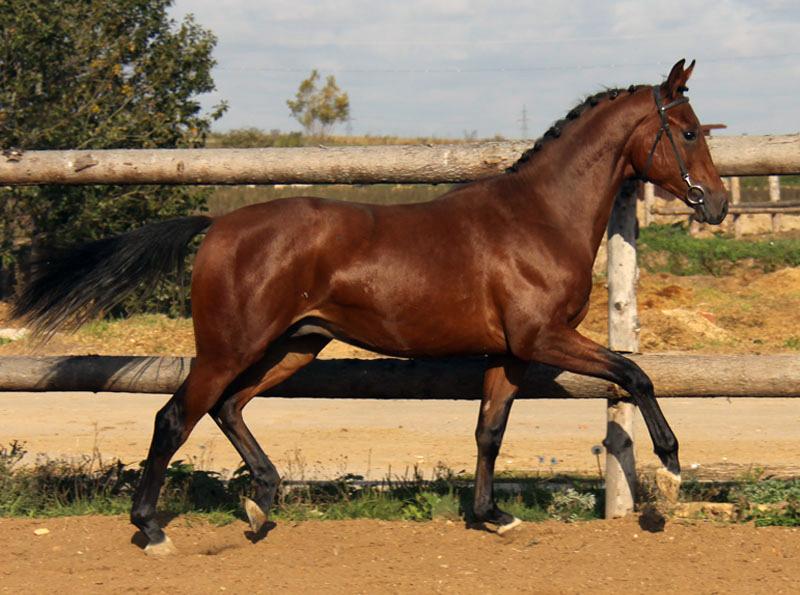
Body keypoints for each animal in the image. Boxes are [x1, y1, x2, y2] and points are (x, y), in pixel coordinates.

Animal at [14, 59, 728, 555]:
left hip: (295, 346)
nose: (718, 204)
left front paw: (492, 516)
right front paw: (671, 462)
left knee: (227, 408)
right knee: (175, 417)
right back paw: (152, 529)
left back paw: (262, 502)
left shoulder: (509, 353)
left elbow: (489, 430)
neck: (537, 218)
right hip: (231, 346)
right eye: (689, 131)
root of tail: (217, 227)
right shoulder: (541, 338)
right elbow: (635, 372)